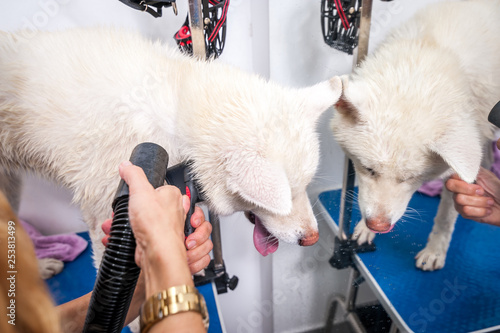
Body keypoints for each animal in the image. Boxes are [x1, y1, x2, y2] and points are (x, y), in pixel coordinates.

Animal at [332, 0, 500, 270]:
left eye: (411, 178)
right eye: (368, 169)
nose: (378, 226)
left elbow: (446, 216)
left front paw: (435, 250)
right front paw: (364, 229)